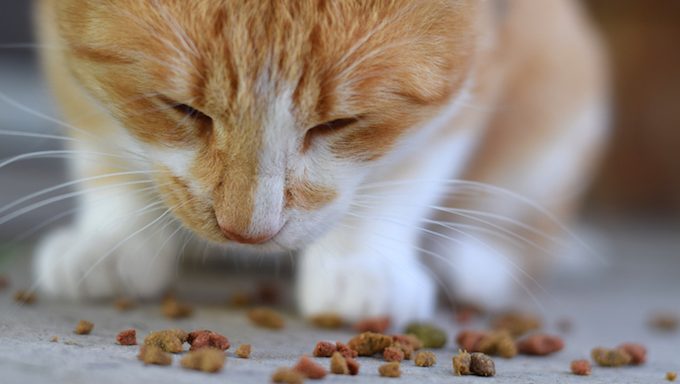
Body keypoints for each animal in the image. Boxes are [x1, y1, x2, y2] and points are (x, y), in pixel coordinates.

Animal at [33, 0, 604, 326]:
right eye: (182, 109)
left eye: (339, 124)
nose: (247, 232)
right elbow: (100, 141)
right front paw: (110, 239)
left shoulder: (475, 72)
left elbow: (403, 175)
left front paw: (362, 265)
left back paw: (474, 263)